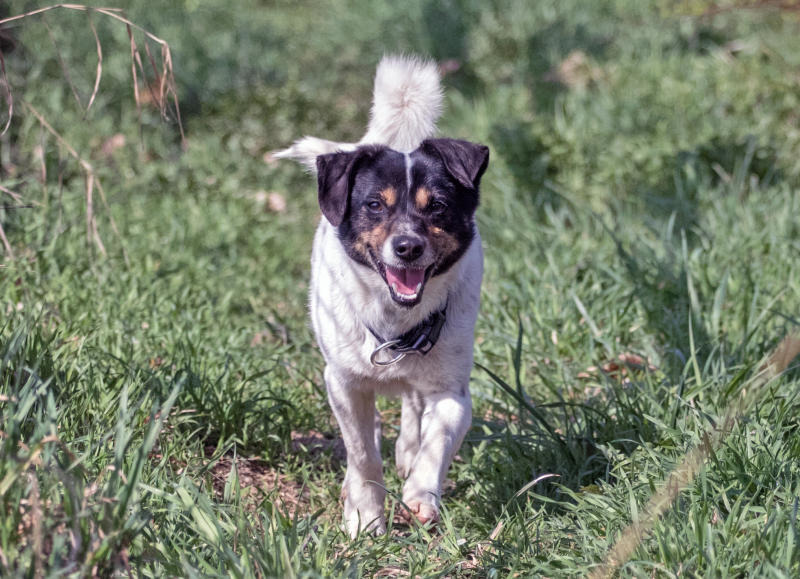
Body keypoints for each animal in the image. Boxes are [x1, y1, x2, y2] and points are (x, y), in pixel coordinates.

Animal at [276, 56, 488, 536]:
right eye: (375, 204)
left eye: (437, 206)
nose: (408, 247)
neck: (396, 323)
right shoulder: (343, 383)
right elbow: (362, 454)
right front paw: (364, 516)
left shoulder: (453, 391)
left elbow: (437, 440)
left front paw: (421, 494)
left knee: (413, 407)